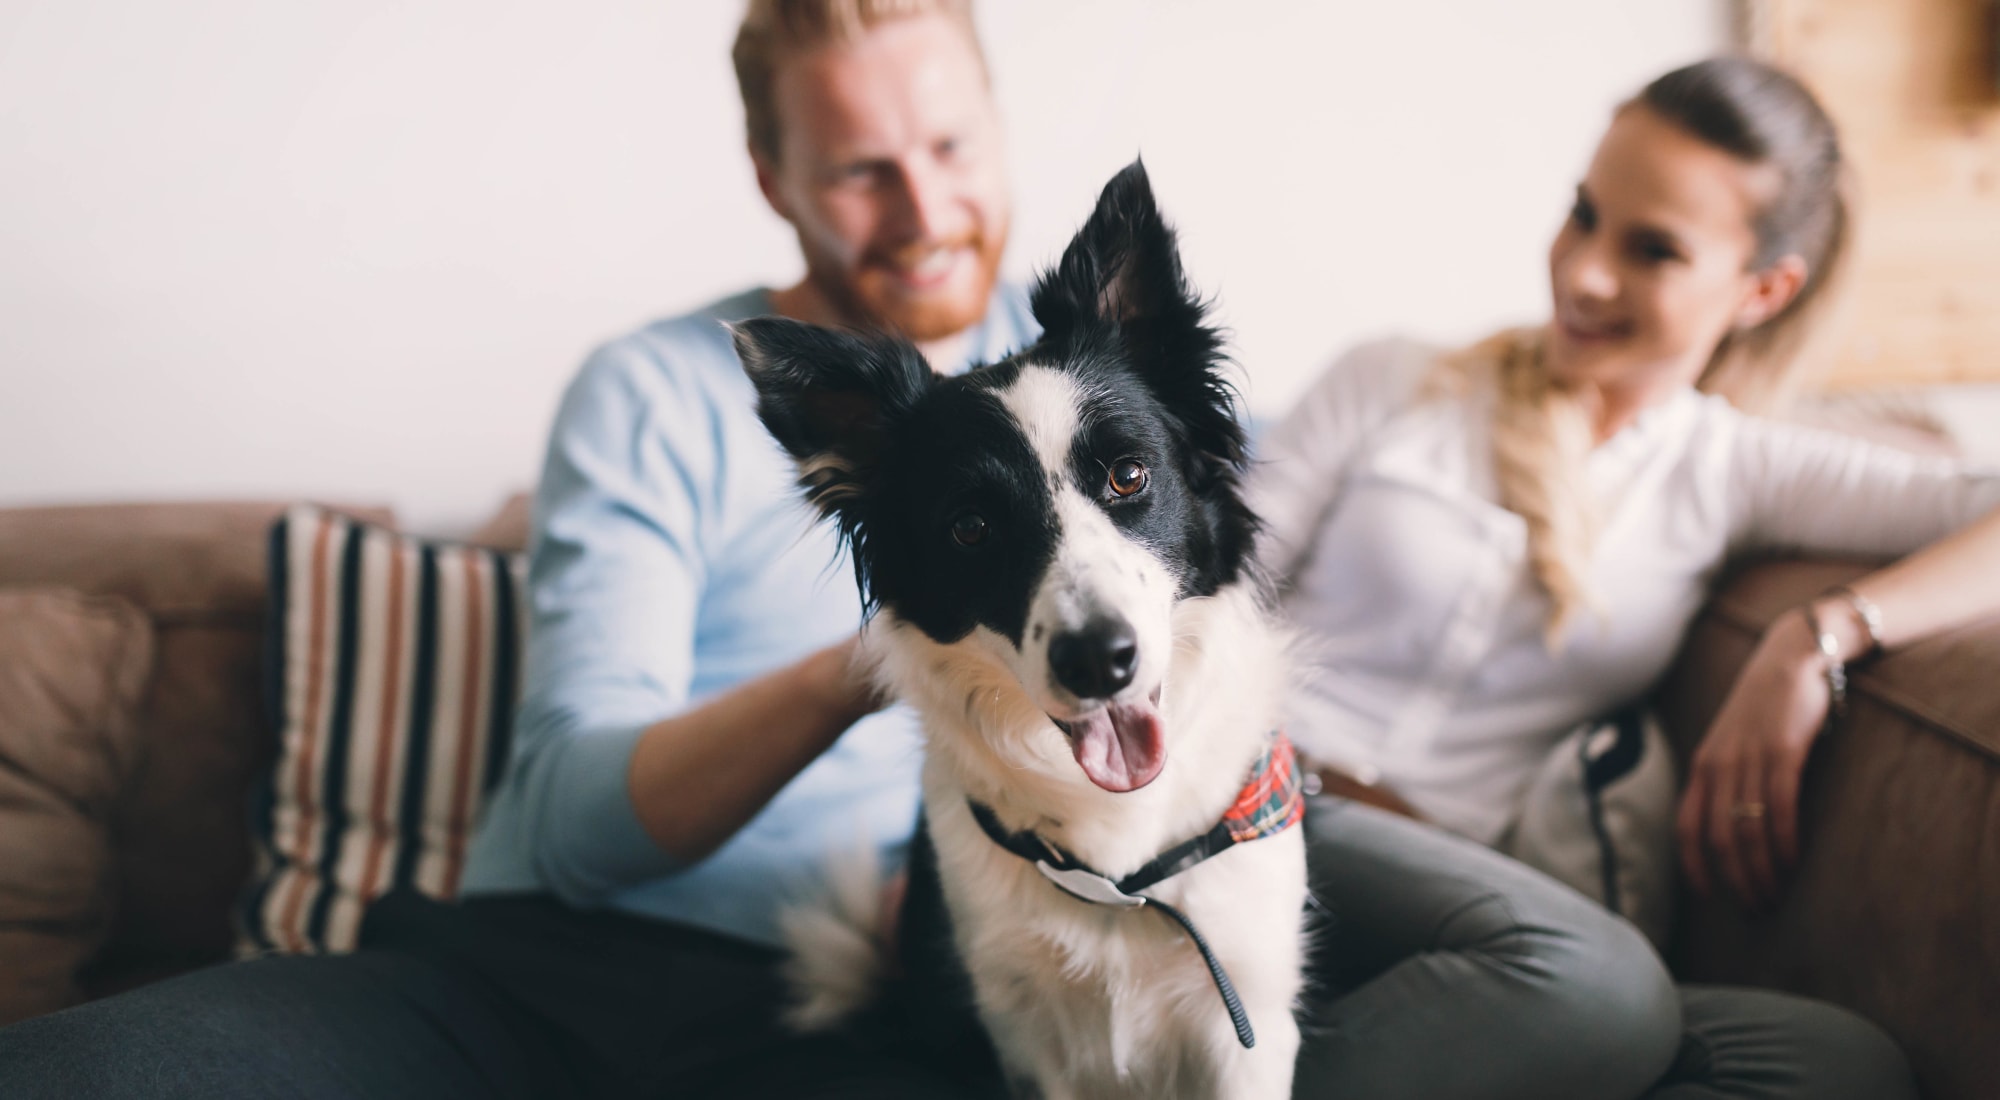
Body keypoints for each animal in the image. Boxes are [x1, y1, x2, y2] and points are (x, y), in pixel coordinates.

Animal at [736, 164, 1312, 1100]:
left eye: (1128, 476)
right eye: (970, 529)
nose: (1100, 662)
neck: (1120, 870)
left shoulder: (1247, 1021)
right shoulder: (1022, 1034)